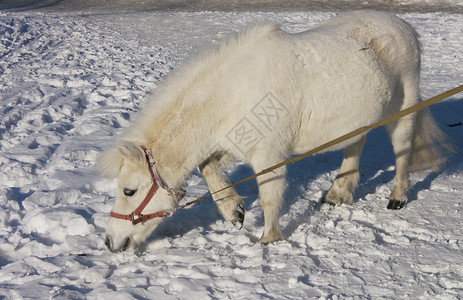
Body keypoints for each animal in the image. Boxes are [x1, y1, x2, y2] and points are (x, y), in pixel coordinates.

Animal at [97, 10, 450, 252]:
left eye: (129, 191)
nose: (109, 241)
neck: (232, 92)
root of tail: (403, 25)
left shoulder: (268, 153)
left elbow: (269, 196)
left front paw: (269, 239)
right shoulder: (235, 142)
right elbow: (207, 166)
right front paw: (233, 211)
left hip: (403, 107)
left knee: (402, 148)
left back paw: (397, 197)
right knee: (355, 144)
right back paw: (338, 193)